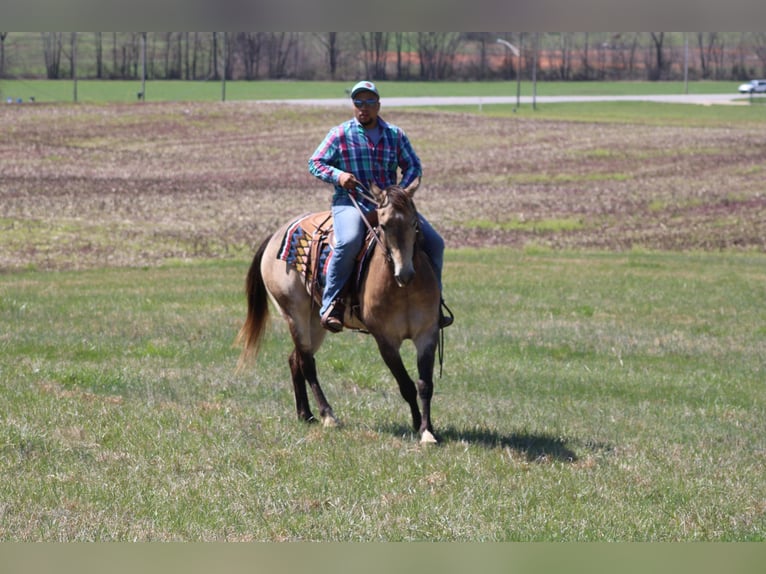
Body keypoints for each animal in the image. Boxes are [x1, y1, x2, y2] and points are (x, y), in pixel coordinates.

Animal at [240, 180, 444, 446]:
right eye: (384, 225)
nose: (405, 273)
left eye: (414, 223)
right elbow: (406, 385)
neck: (403, 289)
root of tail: (275, 235)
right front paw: (417, 425)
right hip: (294, 314)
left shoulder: (427, 334)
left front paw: (427, 430)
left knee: (295, 359)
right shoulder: (385, 340)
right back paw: (327, 415)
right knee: (307, 363)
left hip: (316, 322)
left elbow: (424, 384)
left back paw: (305, 414)